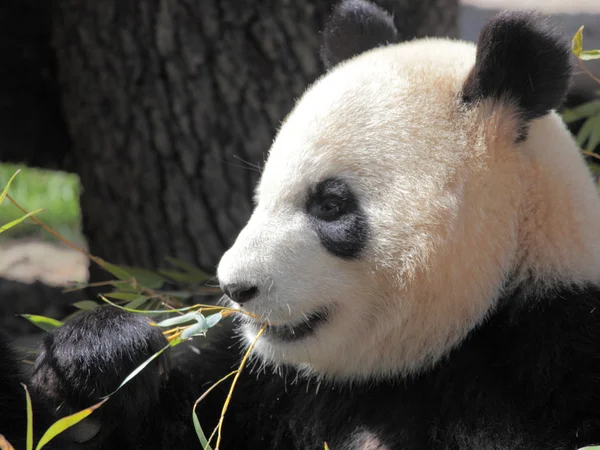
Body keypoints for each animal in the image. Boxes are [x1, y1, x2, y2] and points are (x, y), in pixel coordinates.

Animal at [3, 0, 600, 448]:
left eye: (330, 206)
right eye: (262, 193)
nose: (235, 288)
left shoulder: (551, 363)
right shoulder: (264, 388)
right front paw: (97, 360)